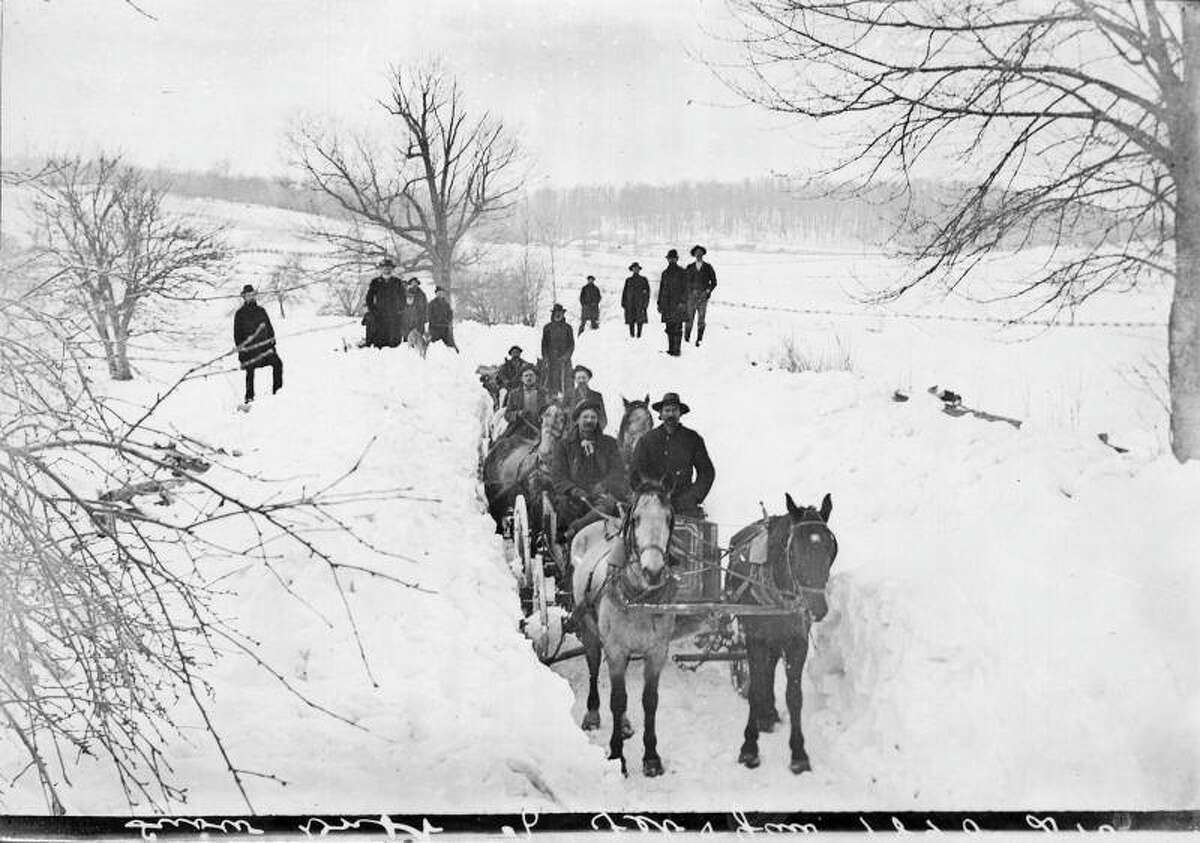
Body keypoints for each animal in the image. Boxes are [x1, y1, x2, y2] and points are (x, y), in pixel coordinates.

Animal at [720, 492, 835, 778]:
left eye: (831, 548)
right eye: (794, 551)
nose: (817, 609)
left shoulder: (797, 641)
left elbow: (794, 697)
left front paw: (799, 755)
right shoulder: (755, 639)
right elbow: (755, 687)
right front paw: (749, 748)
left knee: (770, 668)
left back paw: (769, 714)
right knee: (762, 673)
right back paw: (764, 715)